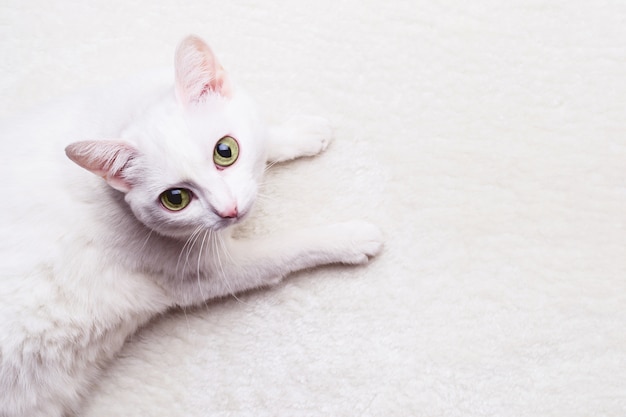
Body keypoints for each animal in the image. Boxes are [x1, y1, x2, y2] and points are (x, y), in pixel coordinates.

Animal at [0, 36, 380, 416]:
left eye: (225, 150)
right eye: (175, 198)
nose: (229, 211)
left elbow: (265, 138)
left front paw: (298, 133)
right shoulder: (210, 271)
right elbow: (291, 248)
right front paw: (351, 237)